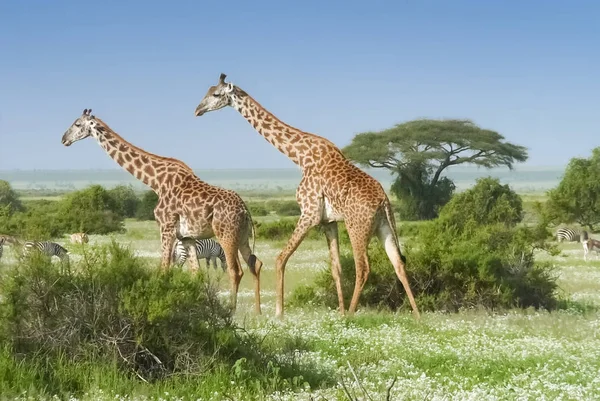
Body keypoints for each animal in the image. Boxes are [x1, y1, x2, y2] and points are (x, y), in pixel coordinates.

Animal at [61, 108, 264, 312]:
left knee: (235, 270)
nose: (64, 139)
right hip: (242, 236)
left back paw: (232, 311)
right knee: (255, 264)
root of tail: (245, 209)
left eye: (77, 124)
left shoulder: (166, 227)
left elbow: (164, 269)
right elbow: (195, 273)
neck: (155, 182)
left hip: (226, 234)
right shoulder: (187, 237)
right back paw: (257, 312)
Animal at [195, 73, 420, 318]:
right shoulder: (328, 221)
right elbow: (336, 268)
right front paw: (339, 313)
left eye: (216, 94)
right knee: (398, 263)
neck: (300, 157)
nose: (198, 109)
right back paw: (417, 317)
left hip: (357, 226)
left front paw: (279, 314)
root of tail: (383, 201)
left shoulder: (309, 212)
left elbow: (280, 258)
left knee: (363, 267)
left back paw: (353, 314)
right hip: (383, 226)